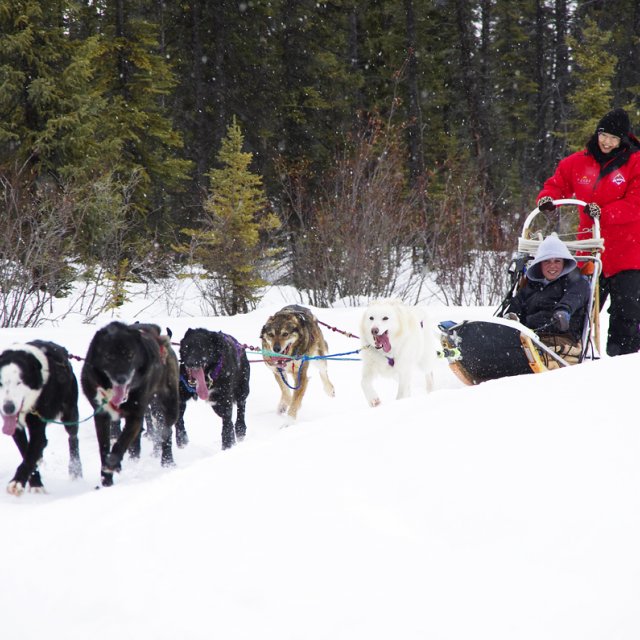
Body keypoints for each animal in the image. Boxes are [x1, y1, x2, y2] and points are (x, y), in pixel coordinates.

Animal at [0, 340, 82, 496]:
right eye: (0, 383)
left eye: (19, 382)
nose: (8, 408)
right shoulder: (17, 429)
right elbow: (26, 451)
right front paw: (35, 482)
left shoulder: (37, 425)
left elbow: (31, 454)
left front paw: (17, 482)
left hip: (70, 413)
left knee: (73, 437)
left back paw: (76, 470)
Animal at [81, 322, 180, 488]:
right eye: (109, 356)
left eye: (130, 355)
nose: (121, 378)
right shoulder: (101, 415)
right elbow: (104, 447)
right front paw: (106, 479)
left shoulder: (135, 416)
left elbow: (121, 443)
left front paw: (112, 464)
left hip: (171, 406)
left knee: (166, 432)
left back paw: (167, 461)